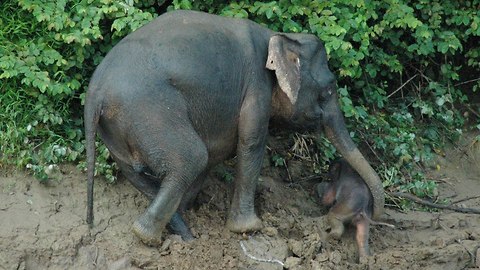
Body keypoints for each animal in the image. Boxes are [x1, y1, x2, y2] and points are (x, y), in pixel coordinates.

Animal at [83, 10, 386, 245]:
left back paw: (182, 233)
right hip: (149, 110)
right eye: (329, 89)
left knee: (143, 171)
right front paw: (248, 228)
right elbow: (251, 143)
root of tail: (95, 92)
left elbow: (216, 154)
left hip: (116, 132)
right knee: (191, 157)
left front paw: (189, 207)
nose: (374, 212)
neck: (279, 36)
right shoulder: (256, 88)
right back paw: (147, 236)